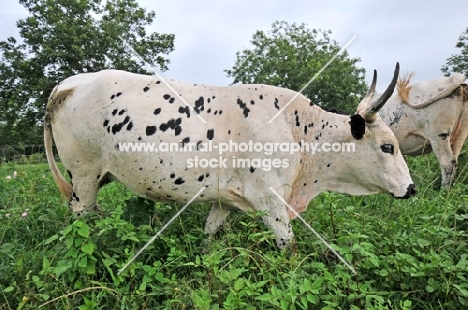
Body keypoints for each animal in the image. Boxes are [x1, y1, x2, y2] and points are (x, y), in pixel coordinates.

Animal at [44, 61, 416, 248]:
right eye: (388, 146)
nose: (411, 189)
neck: (300, 132)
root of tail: (67, 85)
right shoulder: (270, 201)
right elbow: (288, 245)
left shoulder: (224, 200)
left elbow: (208, 237)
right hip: (84, 177)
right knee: (80, 220)